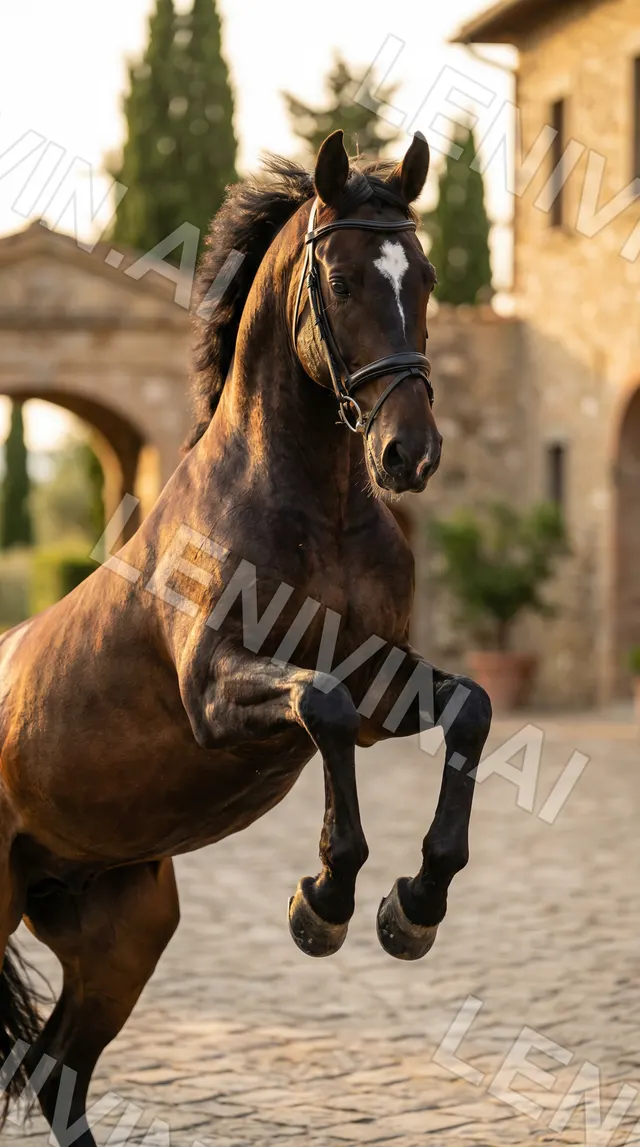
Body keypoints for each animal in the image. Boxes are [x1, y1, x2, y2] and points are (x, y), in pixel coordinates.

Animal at [0, 129, 491, 1144]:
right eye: (340, 279)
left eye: (423, 275)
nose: (409, 454)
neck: (314, 508)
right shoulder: (221, 694)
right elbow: (320, 705)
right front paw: (325, 903)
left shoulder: (385, 685)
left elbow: (471, 707)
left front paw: (412, 907)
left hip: (122, 923)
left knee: (57, 1070)